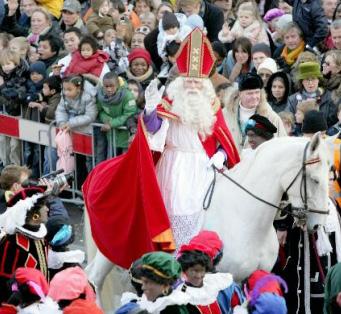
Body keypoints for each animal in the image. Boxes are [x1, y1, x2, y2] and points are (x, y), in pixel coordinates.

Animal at [85, 132, 330, 312]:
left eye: (330, 176)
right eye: (314, 180)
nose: (318, 225)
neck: (243, 215)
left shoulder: (255, 277)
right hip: (110, 250)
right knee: (94, 278)